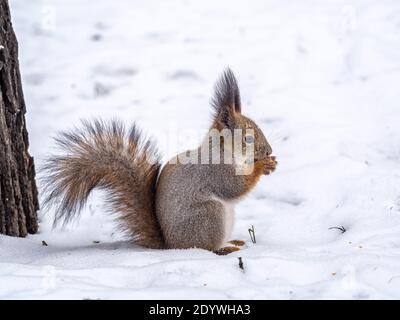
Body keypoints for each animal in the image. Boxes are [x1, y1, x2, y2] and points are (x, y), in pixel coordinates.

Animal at [42, 69, 276, 255]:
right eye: (248, 138)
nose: (269, 151)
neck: (223, 151)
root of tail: (170, 245)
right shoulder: (214, 170)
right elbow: (233, 188)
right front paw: (262, 166)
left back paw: (233, 242)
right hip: (209, 216)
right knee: (205, 247)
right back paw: (224, 248)